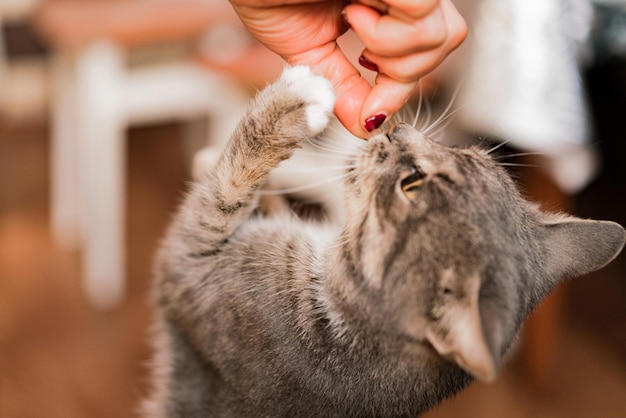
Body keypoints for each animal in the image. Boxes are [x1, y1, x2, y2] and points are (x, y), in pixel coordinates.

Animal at [143, 67, 624, 416]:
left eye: (411, 186)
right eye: (468, 153)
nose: (396, 130)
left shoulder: (188, 261)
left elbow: (229, 183)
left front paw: (297, 104)